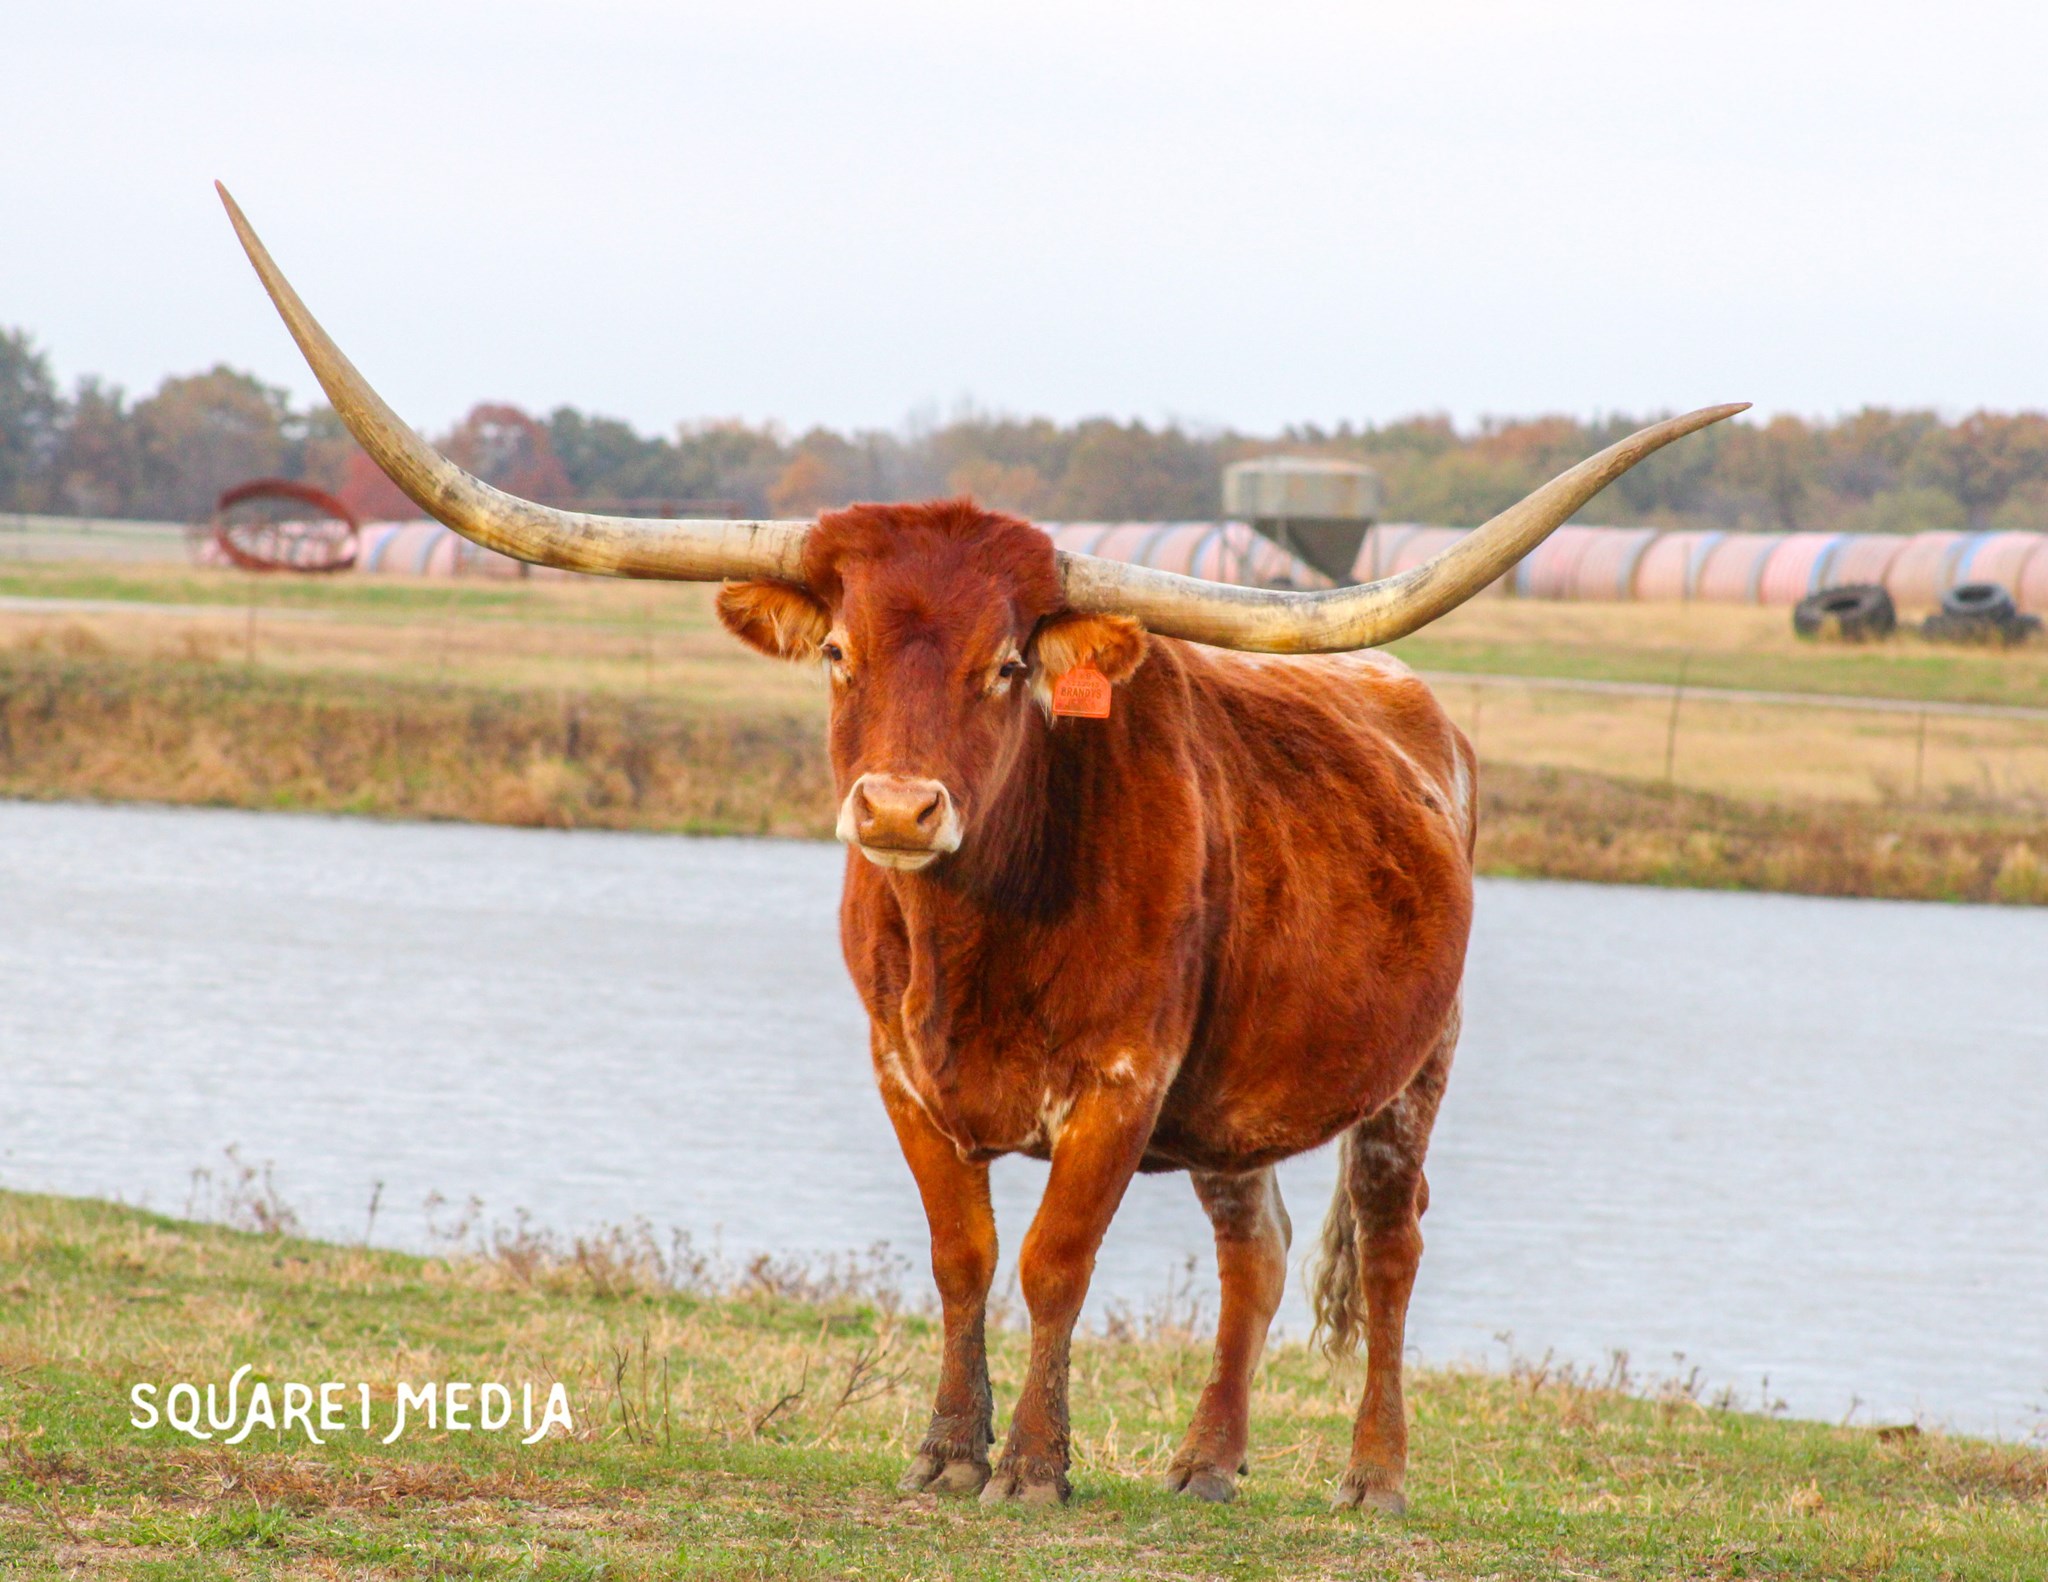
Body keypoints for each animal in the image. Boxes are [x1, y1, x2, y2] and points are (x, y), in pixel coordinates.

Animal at [219, 182, 1741, 1512]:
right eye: (838, 649)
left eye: (1010, 664)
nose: (898, 810)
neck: (980, 940)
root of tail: (1412, 702)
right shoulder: (903, 1069)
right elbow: (962, 1257)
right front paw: (946, 1453)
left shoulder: (1123, 1080)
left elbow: (1056, 1261)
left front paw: (1032, 1466)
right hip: (1235, 1094)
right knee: (1253, 1249)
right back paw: (1208, 1461)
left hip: (1415, 1066)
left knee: (1392, 1241)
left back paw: (1372, 1475)